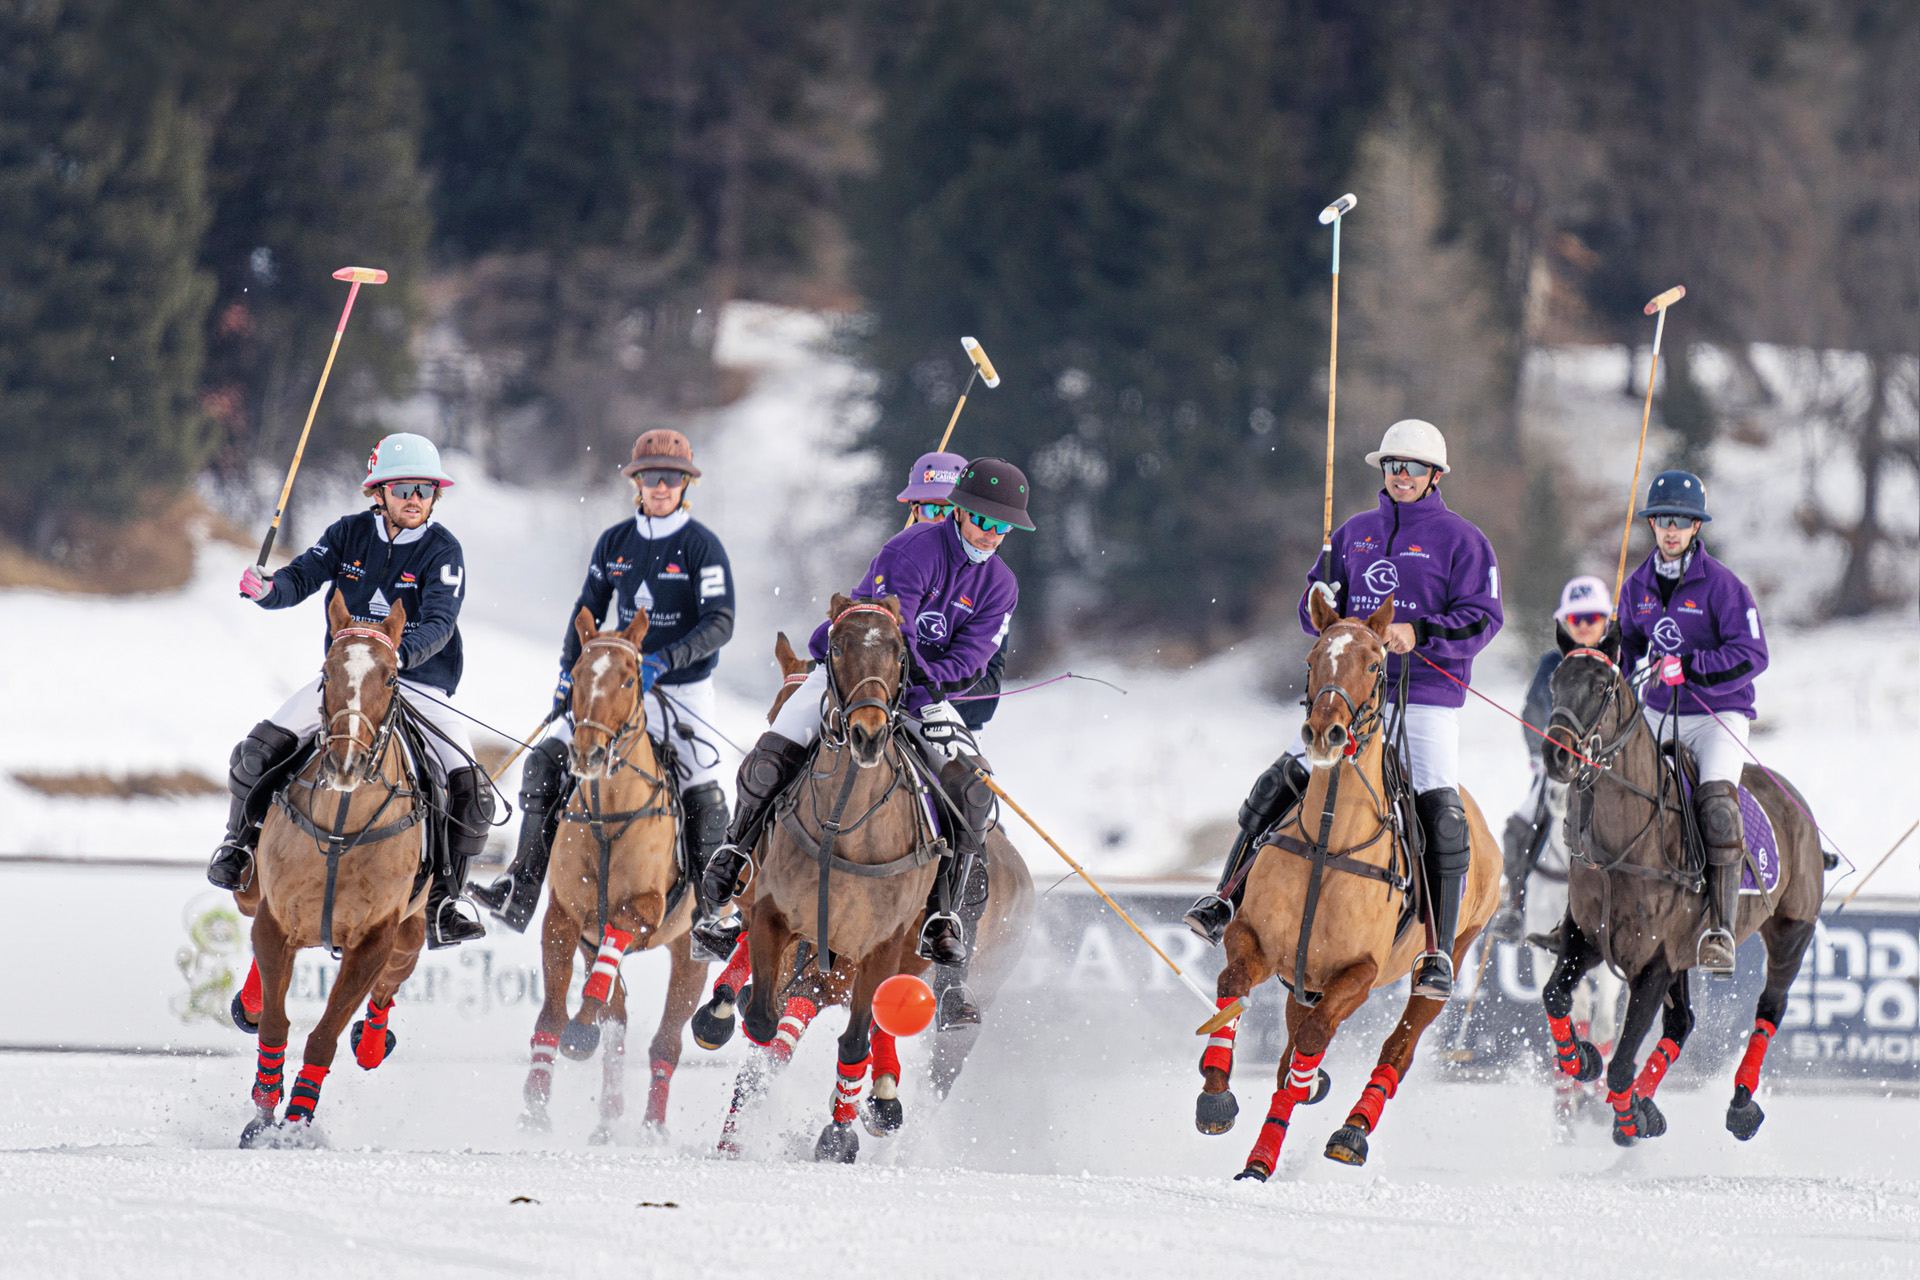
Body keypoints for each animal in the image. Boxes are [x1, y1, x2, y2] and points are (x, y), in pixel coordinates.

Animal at [514, 610, 710, 1143]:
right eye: (579, 674)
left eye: (628, 678)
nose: (589, 754)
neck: (609, 813)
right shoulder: (565, 916)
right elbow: (554, 1011)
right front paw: (535, 1107)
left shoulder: (644, 908)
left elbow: (598, 986)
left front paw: (581, 1031)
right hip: (590, 938)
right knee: (618, 1015)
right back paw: (607, 1116)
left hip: (690, 953)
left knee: (666, 1041)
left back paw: (651, 1127)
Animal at [1198, 598, 1497, 1182]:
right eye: (1312, 658)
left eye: (1377, 663)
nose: (1325, 734)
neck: (1328, 841)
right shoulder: (1258, 941)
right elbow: (1233, 985)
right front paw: (1216, 1096)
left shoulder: (1358, 974)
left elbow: (1314, 1041)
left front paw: (1266, 1153)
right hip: (1302, 981)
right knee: (1291, 1053)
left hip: (1451, 952)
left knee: (1398, 1046)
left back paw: (1352, 1132)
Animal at [1528, 625, 1812, 1143]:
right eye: (1555, 684)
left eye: (1602, 686)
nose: (1556, 755)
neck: (1622, 846)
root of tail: (1791, 797)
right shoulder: (1586, 938)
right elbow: (1555, 996)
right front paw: (1583, 1060)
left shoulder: (1653, 963)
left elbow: (1621, 1064)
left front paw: (1628, 1117)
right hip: (1685, 956)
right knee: (1682, 1021)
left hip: (1792, 931)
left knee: (1770, 1008)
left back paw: (1741, 1104)